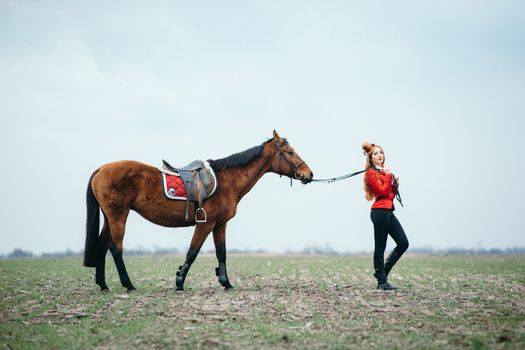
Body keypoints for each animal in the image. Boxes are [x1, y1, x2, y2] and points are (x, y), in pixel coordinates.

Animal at [82, 130, 312, 292]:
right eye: (290, 152)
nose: (308, 174)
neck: (226, 180)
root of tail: (102, 169)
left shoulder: (220, 225)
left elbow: (222, 253)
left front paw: (226, 283)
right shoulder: (206, 224)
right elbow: (192, 252)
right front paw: (179, 282)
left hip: (109, 217)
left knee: (102, 245)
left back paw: (103, 285)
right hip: (118, 215)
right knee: (115, 247)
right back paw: (128, 285)